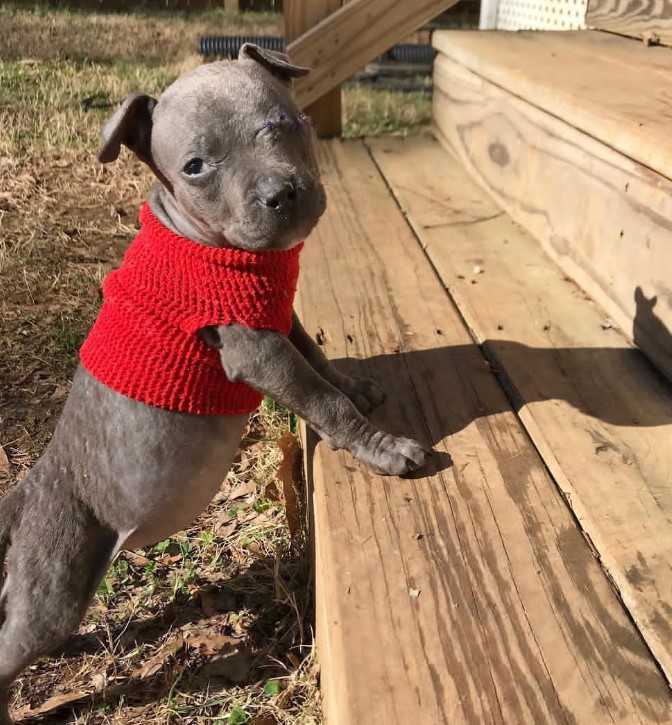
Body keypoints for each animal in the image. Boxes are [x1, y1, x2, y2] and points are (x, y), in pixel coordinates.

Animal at [0, 46, 428, 724]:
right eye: (196, 167)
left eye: (285, 124)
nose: (281, 194)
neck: (219, 248)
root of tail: (23, 495)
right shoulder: (255, 348)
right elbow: (321, 399)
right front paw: (381, 446)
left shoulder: (277, 319)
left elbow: (319, 362)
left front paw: (355, 385)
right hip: (53, 582)